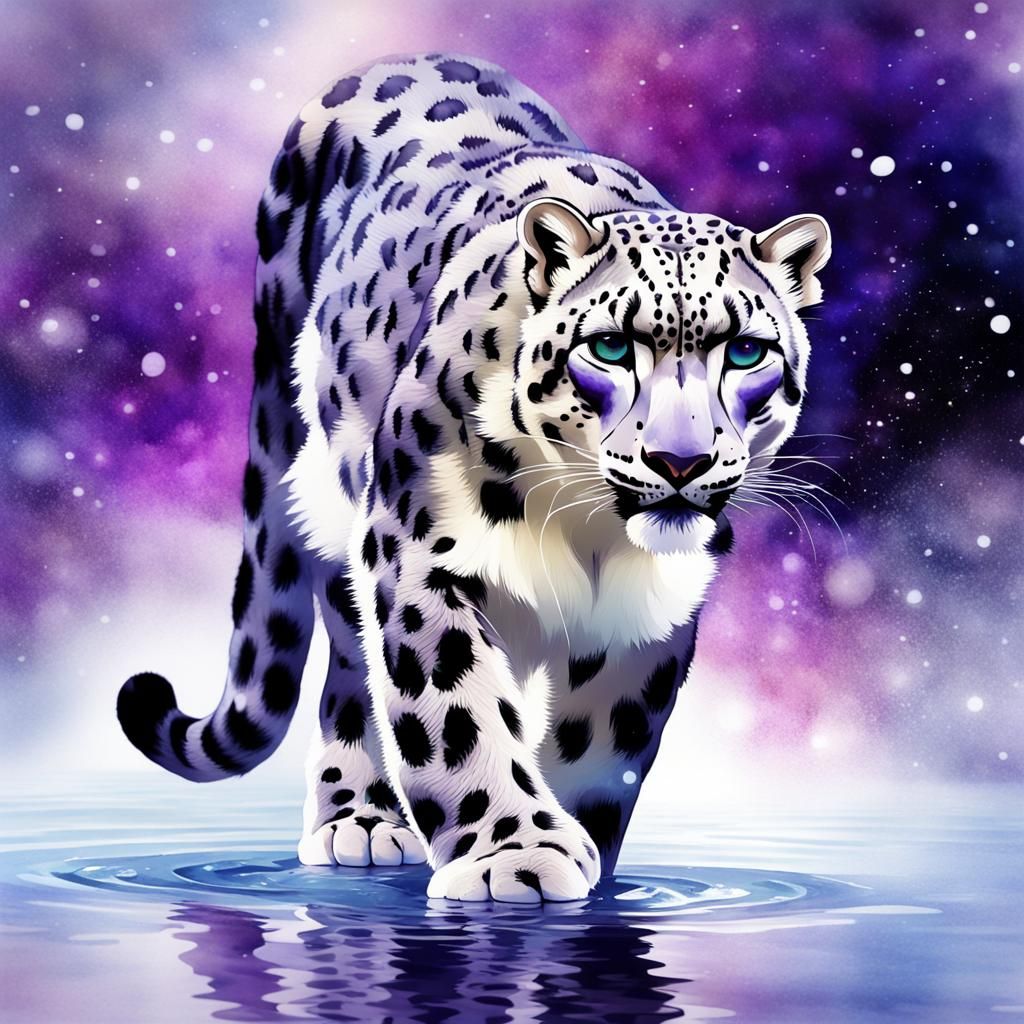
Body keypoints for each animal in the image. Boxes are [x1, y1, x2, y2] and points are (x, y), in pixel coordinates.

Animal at [117, 52, 830, 903]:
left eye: (747, 351)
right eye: (611, 348)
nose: (679, 461)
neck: (587, 533)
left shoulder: (647, 610)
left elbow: (603, 743)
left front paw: (580, 848)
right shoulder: (417, 550)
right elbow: (455, 709)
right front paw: (515, 855)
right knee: (351, 669)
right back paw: (360, 819)